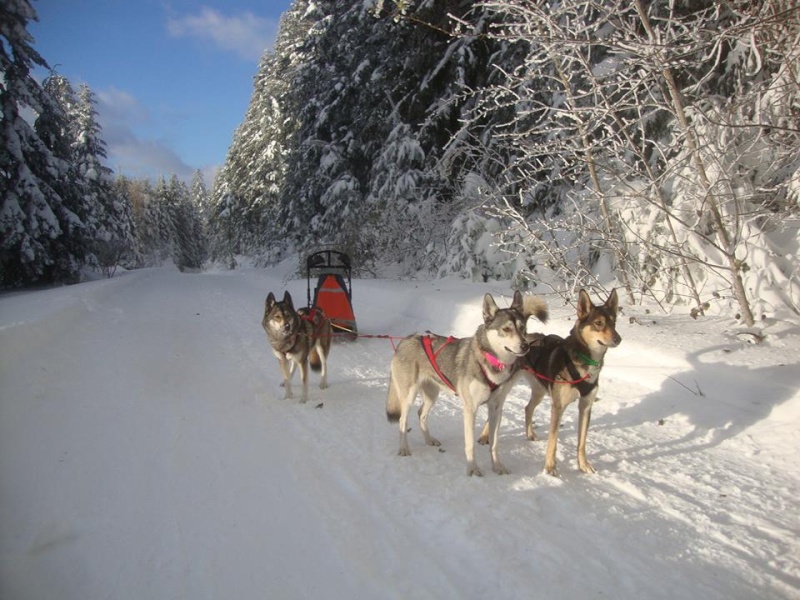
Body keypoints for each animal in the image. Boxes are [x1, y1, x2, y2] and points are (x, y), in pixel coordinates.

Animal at [388, 292, 552, 478]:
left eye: (523, 328)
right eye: (506, 329)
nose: (525, 346)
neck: (492, 362)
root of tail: (406, 340)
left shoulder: (496, 408)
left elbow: (494, 443)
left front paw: (497, 466)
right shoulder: (470, 409)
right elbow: (471, 444)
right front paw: (472, 468)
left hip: (431, 395)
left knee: (421, 414)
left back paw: (429, 440)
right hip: (409, 396)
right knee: (403, 420)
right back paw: (404, 448)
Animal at [478, 288, 620, 476]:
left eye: (614, 322)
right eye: (598, 323)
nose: (618, 339)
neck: (584, 360)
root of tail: (527, 337)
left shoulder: (586, 406)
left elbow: (581, 443)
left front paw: (583, 465)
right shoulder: (558, 407)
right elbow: (553, 441)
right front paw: (550, 466)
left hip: (540, 391)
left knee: (527, 408)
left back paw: (530, 434)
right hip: (505, 389)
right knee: (493, 415)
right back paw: (484, 436)